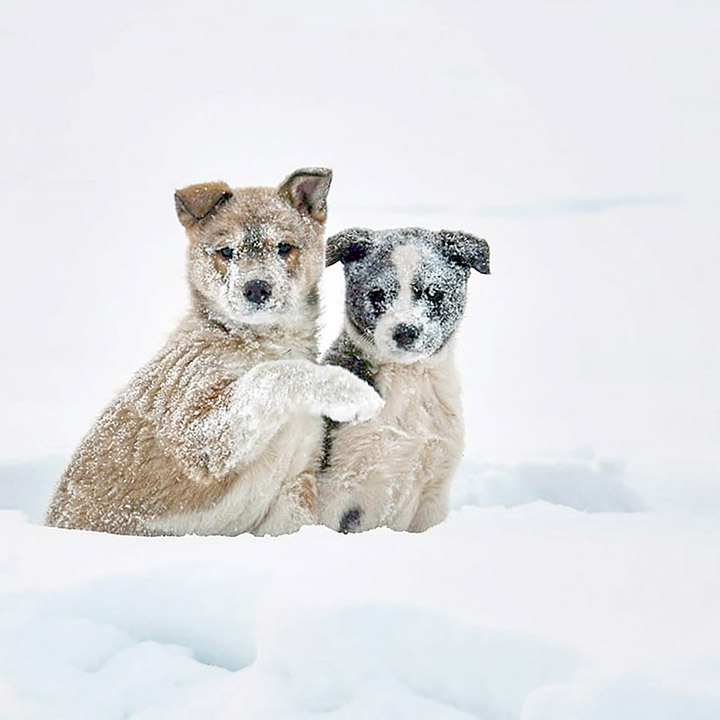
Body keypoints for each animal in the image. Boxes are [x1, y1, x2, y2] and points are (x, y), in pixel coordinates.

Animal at [47, 170, 386, 536]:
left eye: (284, 248)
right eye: (227, 251)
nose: (256, 288)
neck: (261, 340)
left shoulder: (293, 486)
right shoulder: (196, 430)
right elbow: (271, 374)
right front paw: (352, 392)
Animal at [320, 228, 490, 532]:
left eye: (434, 293)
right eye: (377, 294)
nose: (405, 331)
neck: (409, 379)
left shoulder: (434, 490)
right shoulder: (336, 484)